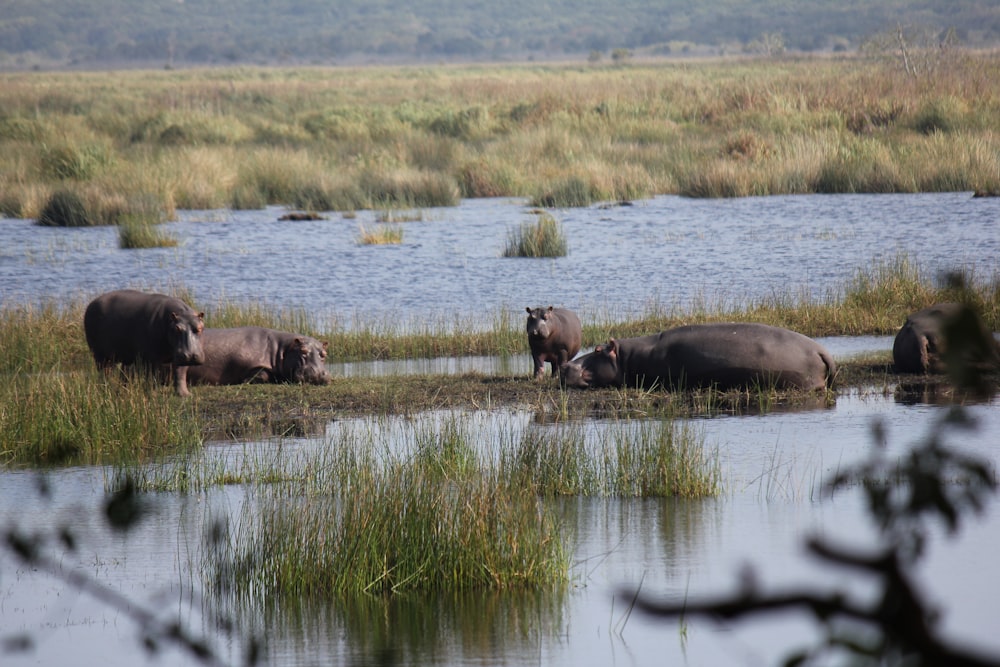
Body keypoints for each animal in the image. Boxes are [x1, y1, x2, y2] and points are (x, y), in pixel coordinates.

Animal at [179, 328, 332, 388]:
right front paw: (245, 381)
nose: (319, 373)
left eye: (324, 354)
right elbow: (262, 374)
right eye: (303, 351)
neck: (281, 349)